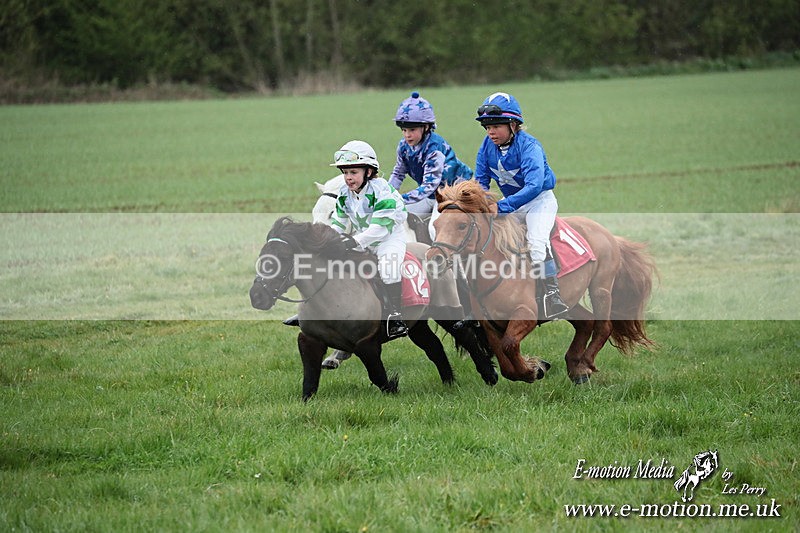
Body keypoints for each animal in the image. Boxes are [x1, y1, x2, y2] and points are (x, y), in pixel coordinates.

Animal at [249, 217, 497, 400]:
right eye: (262, 256)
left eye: (282, 257)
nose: (257, 296)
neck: (332, 294)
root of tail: (435, 252)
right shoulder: (310, 340)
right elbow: (309, 382)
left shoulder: (366, 342)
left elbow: (378, 376)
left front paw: (394, 386)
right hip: (417, 322)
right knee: (434, 347)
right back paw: (449, 382)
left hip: (445, 310)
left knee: (467, 337)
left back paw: (490, 376)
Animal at [426, 180, 657, 384]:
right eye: (436, 225)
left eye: (462, 225)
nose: (433, 259)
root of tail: (608, 234)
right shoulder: (489, 324)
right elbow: (505, 363)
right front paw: (534, 367)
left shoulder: (526, 315)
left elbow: (509, 345)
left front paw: (532, 370)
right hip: (569, 301)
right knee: (586, 322)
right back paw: (576, 368)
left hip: (600, 287)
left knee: (603, 326)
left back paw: (585, 363)